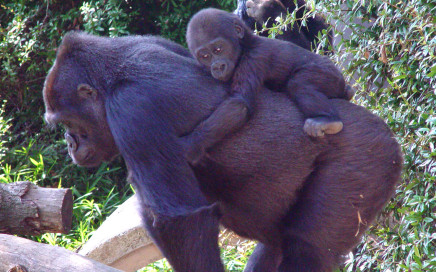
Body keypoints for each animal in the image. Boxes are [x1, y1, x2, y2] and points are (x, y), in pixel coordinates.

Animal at [41, 32, 402, 272]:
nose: (70, 144)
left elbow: (180, 220)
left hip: (370, 157)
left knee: (308, 246)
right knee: (279, 243)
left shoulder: (131, 108)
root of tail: (390, 136)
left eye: (68, 122)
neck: (110, 74)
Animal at [184, 8, 350, 165]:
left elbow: (240, 102)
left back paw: (329, 121)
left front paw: (192, 144)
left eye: (218, 49)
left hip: (330, 74)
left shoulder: (254, 57)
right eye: (205, 56)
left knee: (299, 84)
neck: (246, 44)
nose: (217, 67)